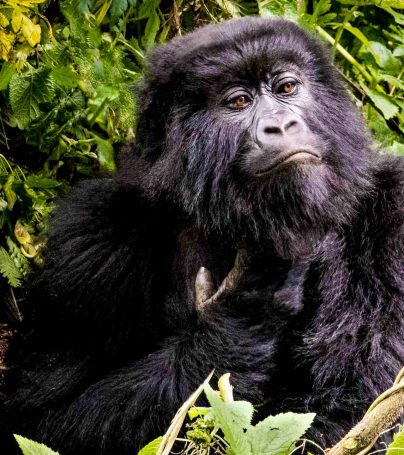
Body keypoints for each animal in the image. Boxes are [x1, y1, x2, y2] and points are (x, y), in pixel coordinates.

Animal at [0, 16, 402, 454]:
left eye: (286, 88)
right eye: (239, 102)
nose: (281, 124)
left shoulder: (394, 213)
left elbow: (356, 404)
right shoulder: (91, 238)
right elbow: (42, 417)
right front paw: (247, 308)